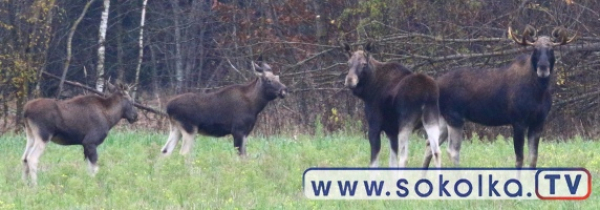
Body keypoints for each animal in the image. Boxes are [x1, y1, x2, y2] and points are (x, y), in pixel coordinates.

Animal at [422, 25, 576, 169]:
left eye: (551, 49)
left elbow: (533, 159)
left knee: (430, 146)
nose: (543, 67)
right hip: (455, 117)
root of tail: (436, 84)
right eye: (535, 49)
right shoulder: (518, 121)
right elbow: (519, 159)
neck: (539, 91)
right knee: (452, 151)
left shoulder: (538, 122)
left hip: (443, 118)